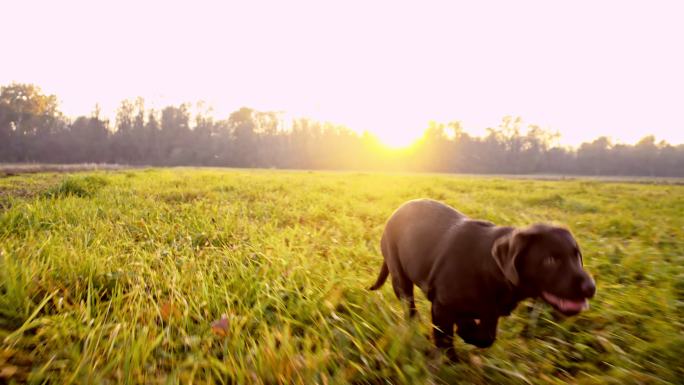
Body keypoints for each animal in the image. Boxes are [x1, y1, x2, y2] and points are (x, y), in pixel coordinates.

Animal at [368, 201, 592, 354]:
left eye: (577, 256)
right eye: (550, 260)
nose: (591, 287)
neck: (490, 267)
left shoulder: (491, 312)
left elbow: (486, 337)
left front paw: (467, 331)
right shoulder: (442, 306)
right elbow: (445, 341)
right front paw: (451, 361)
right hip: (400, 277)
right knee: (410, 308)